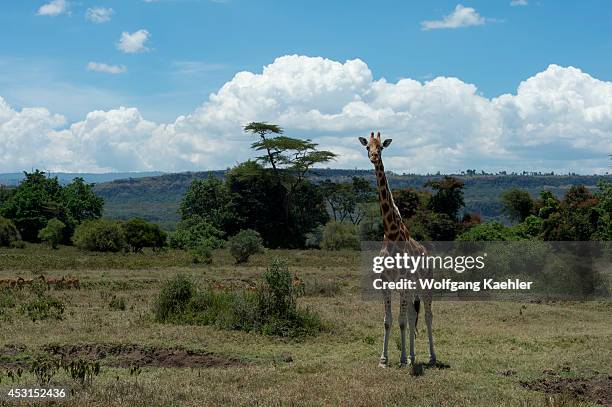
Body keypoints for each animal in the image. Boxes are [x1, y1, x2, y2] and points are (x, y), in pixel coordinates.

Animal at [358, 132, 436, 368]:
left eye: (382, 147)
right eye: (367, 147)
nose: (374, 157)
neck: (391, 234)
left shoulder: (402, 281)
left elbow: (401, 321)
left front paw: (401, 358)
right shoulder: (384, 282)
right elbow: (388, 321)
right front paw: (384, 359)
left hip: (425, 284)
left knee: (427, 316)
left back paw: (430, 357)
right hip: (411, 289)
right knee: (412, 316)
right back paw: (412, 356)